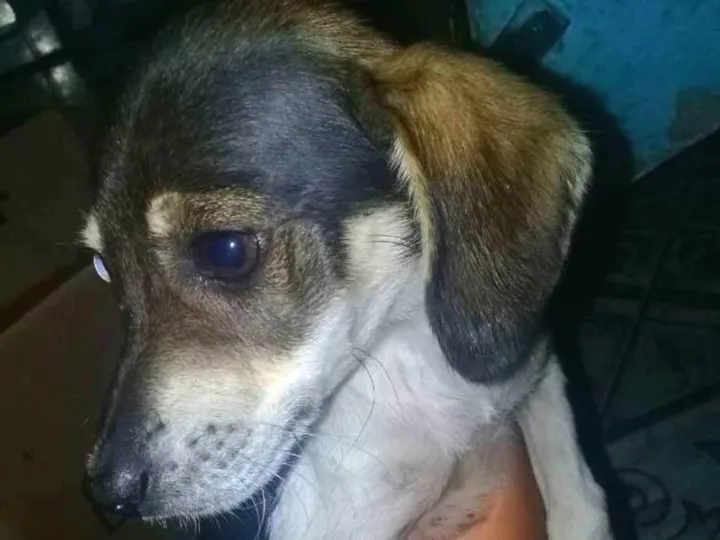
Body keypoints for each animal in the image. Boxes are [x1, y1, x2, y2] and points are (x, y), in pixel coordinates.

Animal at [81, 1, 612, 538]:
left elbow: (579, 494)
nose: (108, 492)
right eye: (103, 268)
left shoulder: (533, 370)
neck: (406, 353)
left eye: (224, 251)